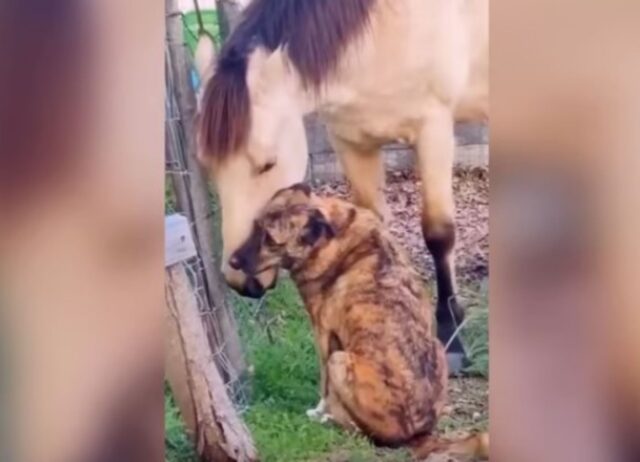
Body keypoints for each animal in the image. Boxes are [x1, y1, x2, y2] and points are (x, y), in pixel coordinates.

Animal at [198, 0, 488, 372]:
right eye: (208, 166)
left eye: (268, 164)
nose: (237, 278)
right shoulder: (351, 141)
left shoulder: (433, 130)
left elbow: (438, 235)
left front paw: (451, 336)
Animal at [230, 183, 490, 458]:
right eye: (256, 226)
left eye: (270, 239)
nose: (232, 262)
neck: (333, 232)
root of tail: (418, 434)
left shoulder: (323, 334)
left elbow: (324, 387)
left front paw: (319, 411)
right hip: (438, 347)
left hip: (339, 360)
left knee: (360, 430)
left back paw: (331, 420)